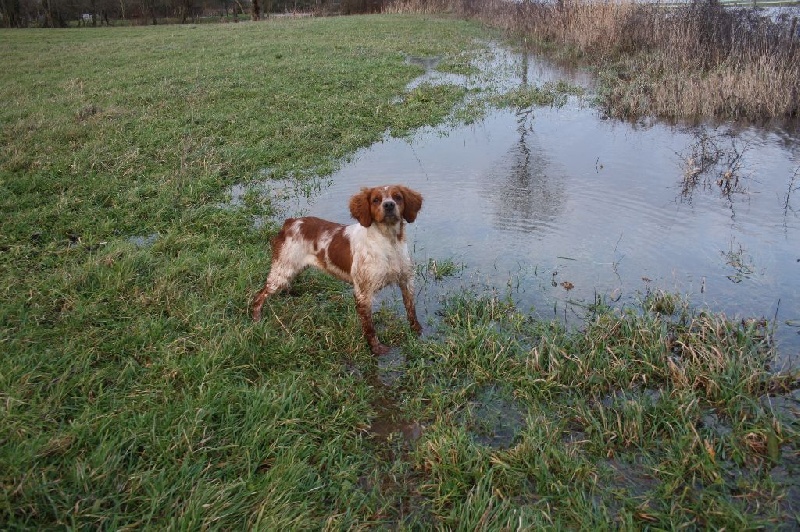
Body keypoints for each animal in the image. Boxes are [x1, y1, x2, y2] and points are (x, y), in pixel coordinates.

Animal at [252, 185, 424, 356]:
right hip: (281, 273)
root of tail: (290, 222)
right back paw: (256, 321)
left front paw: (418, 331)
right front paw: (376, 348)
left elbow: (411, 310)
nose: (389, 205)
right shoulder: (363, 292)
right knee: (258, 297)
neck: (388, 242)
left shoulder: (406, 281)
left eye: (397, 197)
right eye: (376, 200)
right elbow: (369, 327)